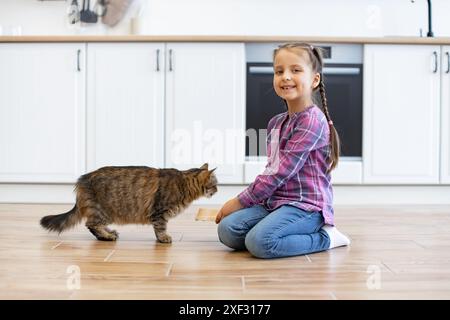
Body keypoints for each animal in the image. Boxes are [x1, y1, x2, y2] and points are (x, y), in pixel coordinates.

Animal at [39, 165, 217, 242]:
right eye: (215, 184)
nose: (217, 190)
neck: (184, 183)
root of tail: (82, 179)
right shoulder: (159, 212)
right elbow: (160, 228)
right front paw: (163, 239)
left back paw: (109, 233)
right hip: (103, 210)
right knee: (91, 224)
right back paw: (107, 237)